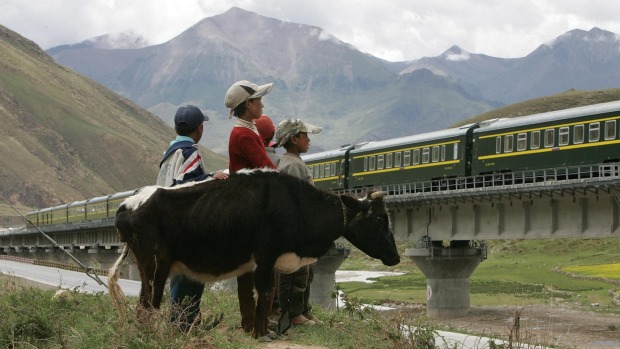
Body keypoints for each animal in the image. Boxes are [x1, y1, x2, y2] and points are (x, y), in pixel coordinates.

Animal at [108, 169, 400, 338]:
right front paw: (261, 334)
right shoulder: (266, 257)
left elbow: (258, 294)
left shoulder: (261, 263)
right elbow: (263, 293)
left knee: (144, 303)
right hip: (155, 266)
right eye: (379, 220)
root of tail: (127, 204)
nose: (396, 258)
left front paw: (261, 330)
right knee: (148, 303)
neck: (296, 204)